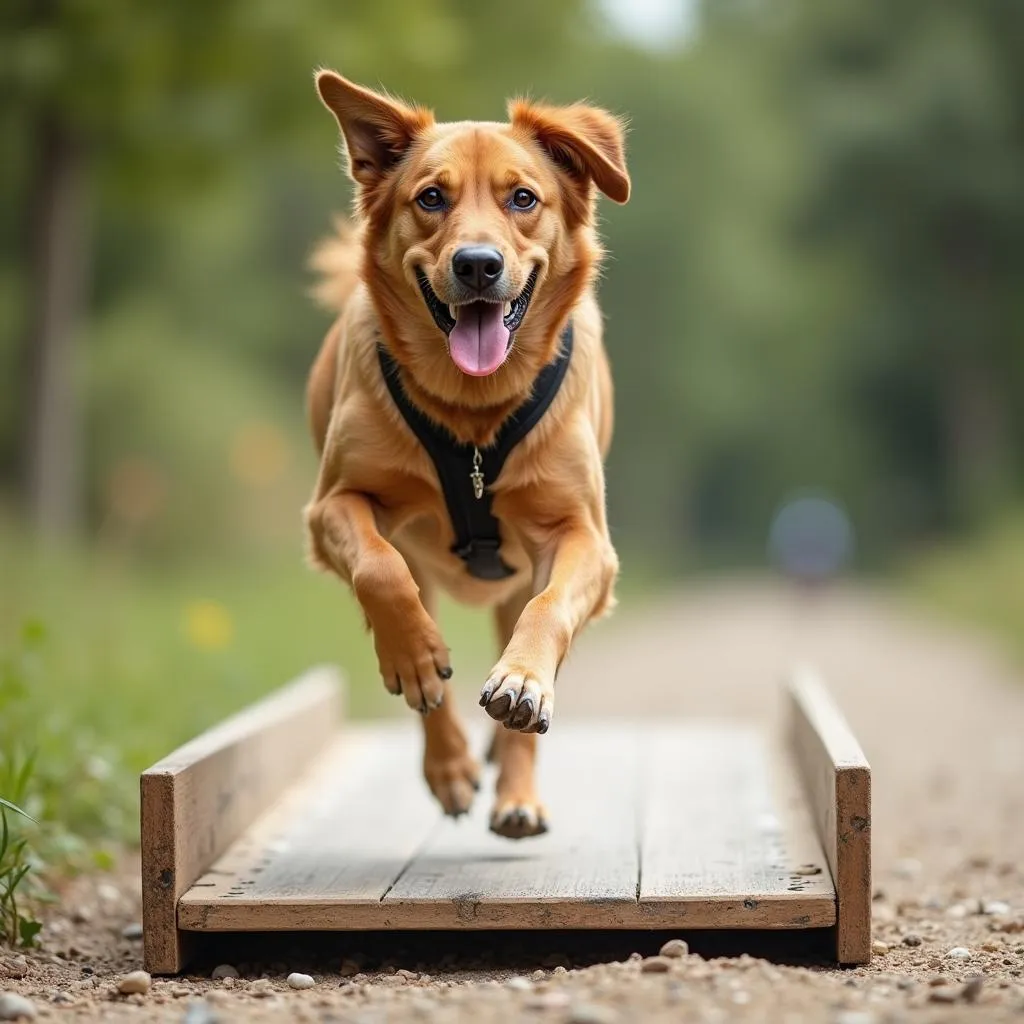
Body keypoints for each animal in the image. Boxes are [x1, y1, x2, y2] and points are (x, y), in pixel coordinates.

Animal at [303, 72, 626, 839]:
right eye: (430, 198)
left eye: (523, 198)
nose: (477, 265)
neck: (475, 414)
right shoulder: (332, 506)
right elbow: (379, 570)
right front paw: (418, 660)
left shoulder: (584, 540)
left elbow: (548, 610)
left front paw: (521, 683)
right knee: (420, 663)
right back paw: (446, 753)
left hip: (517, 582)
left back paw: (515, 791)